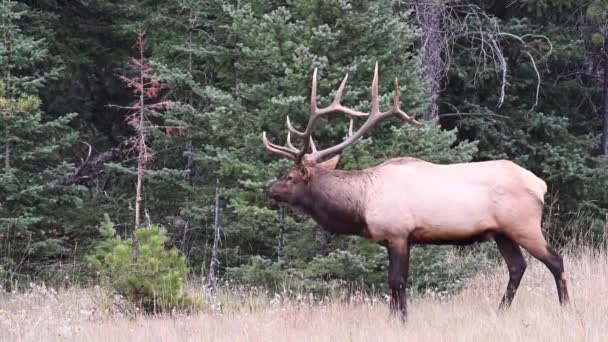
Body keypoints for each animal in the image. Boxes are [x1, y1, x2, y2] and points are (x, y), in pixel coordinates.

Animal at [262, 64, 568, 320]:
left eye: (289, 177)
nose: (268, 189)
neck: (361, 205)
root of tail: (540, 184)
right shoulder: (389, 239)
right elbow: (391, 282)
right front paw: (392, 317)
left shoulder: (399, 233)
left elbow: (398, 280)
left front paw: (403, 319)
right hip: (501, 232)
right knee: (517, 266)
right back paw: (500, 311)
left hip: (524, 225)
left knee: (555, 260)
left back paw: (566, 307)